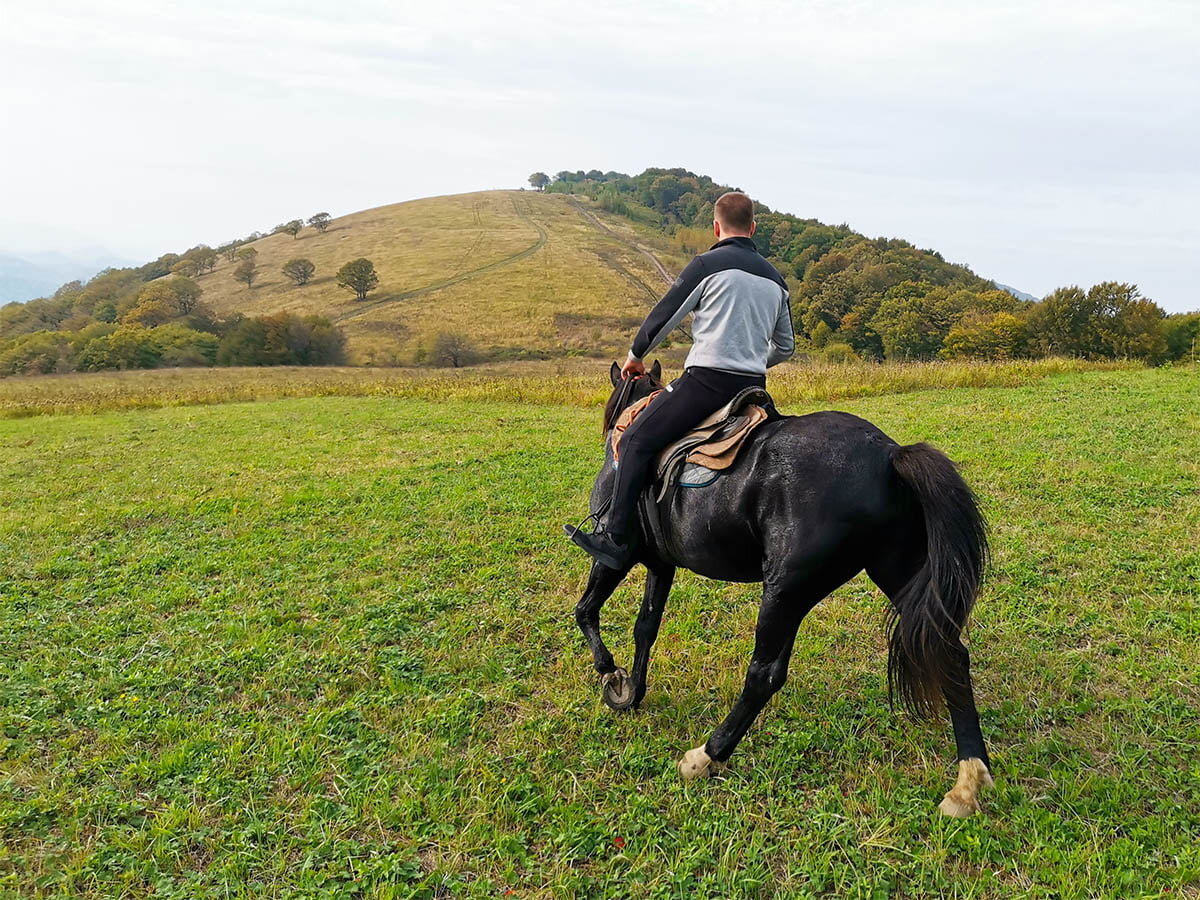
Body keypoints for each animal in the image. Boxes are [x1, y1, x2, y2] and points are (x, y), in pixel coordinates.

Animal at [571, 364, 993, 816]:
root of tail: (889, 456)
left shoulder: (615, 554)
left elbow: (586, 610)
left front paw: (611, 676)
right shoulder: (661, 565)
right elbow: (645, 629)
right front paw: (631, 691)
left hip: (784, 591)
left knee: (764, 675)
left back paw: (706, 756)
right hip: (891, 575)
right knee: (949, 653)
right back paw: (968, 781)